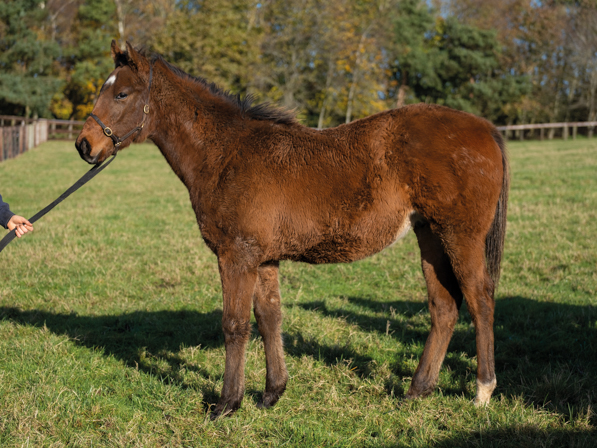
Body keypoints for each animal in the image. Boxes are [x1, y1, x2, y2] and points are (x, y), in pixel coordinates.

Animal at [75, 42, 508, 416]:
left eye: (121, 94)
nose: (84, 145)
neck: (226, 153)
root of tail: (485, 127)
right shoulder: (263, 259)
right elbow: (269, 319)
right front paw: (271, 394)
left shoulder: (236, 255)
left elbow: (234, 325)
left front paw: (226, 403)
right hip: (430, 235)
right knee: (444, 307)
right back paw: (417, 390)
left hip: (460, 235)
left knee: (480, 298)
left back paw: (483, 390)